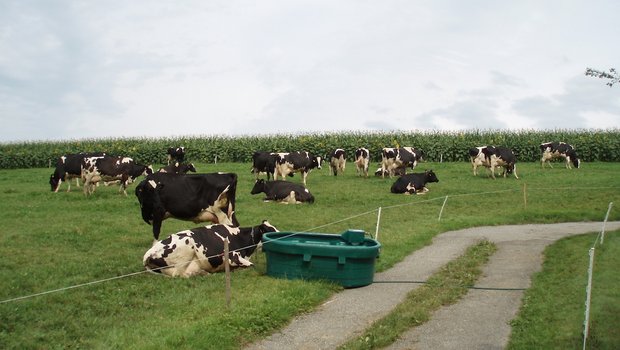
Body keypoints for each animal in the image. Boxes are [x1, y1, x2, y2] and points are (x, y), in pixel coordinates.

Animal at [143, 221, 278, 276]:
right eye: (271, 230)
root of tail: (149, 252)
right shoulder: (232, 257)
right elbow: (253, 266)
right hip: (185, 249)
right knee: (179, 274)